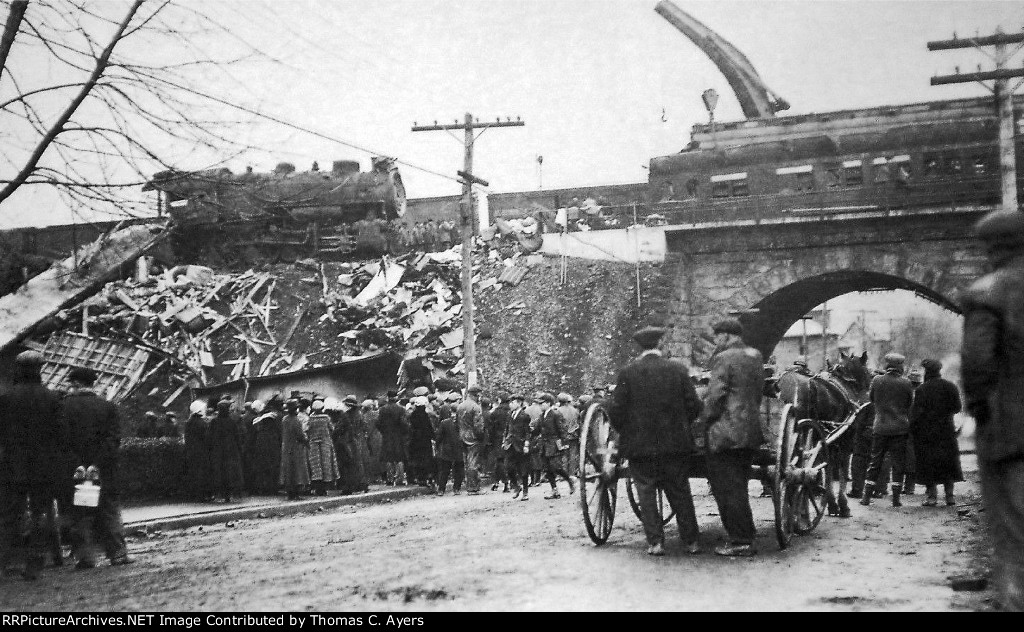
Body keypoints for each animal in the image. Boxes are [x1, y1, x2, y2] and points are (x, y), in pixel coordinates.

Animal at [774, 350, 872, 518]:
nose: (868, 389)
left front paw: (832, 504)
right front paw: (842, 506)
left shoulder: (826, 440)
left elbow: (827, 468)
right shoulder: (845, 440)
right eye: (866, 371)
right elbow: (840, 470)